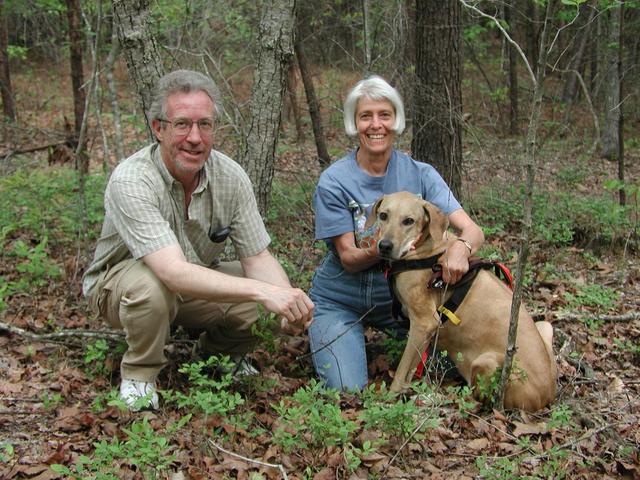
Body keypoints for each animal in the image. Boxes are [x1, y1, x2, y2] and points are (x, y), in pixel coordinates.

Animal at [372, 191, 556, 412]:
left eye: (408, 221)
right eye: (383, 215)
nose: (384, 246)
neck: (425, 249)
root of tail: (548, 395)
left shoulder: (424, 323)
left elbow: (401, 371)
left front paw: (388, 400)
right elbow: (410, 371)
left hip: (488, 363)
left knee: (479, 402)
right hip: (545, 326)